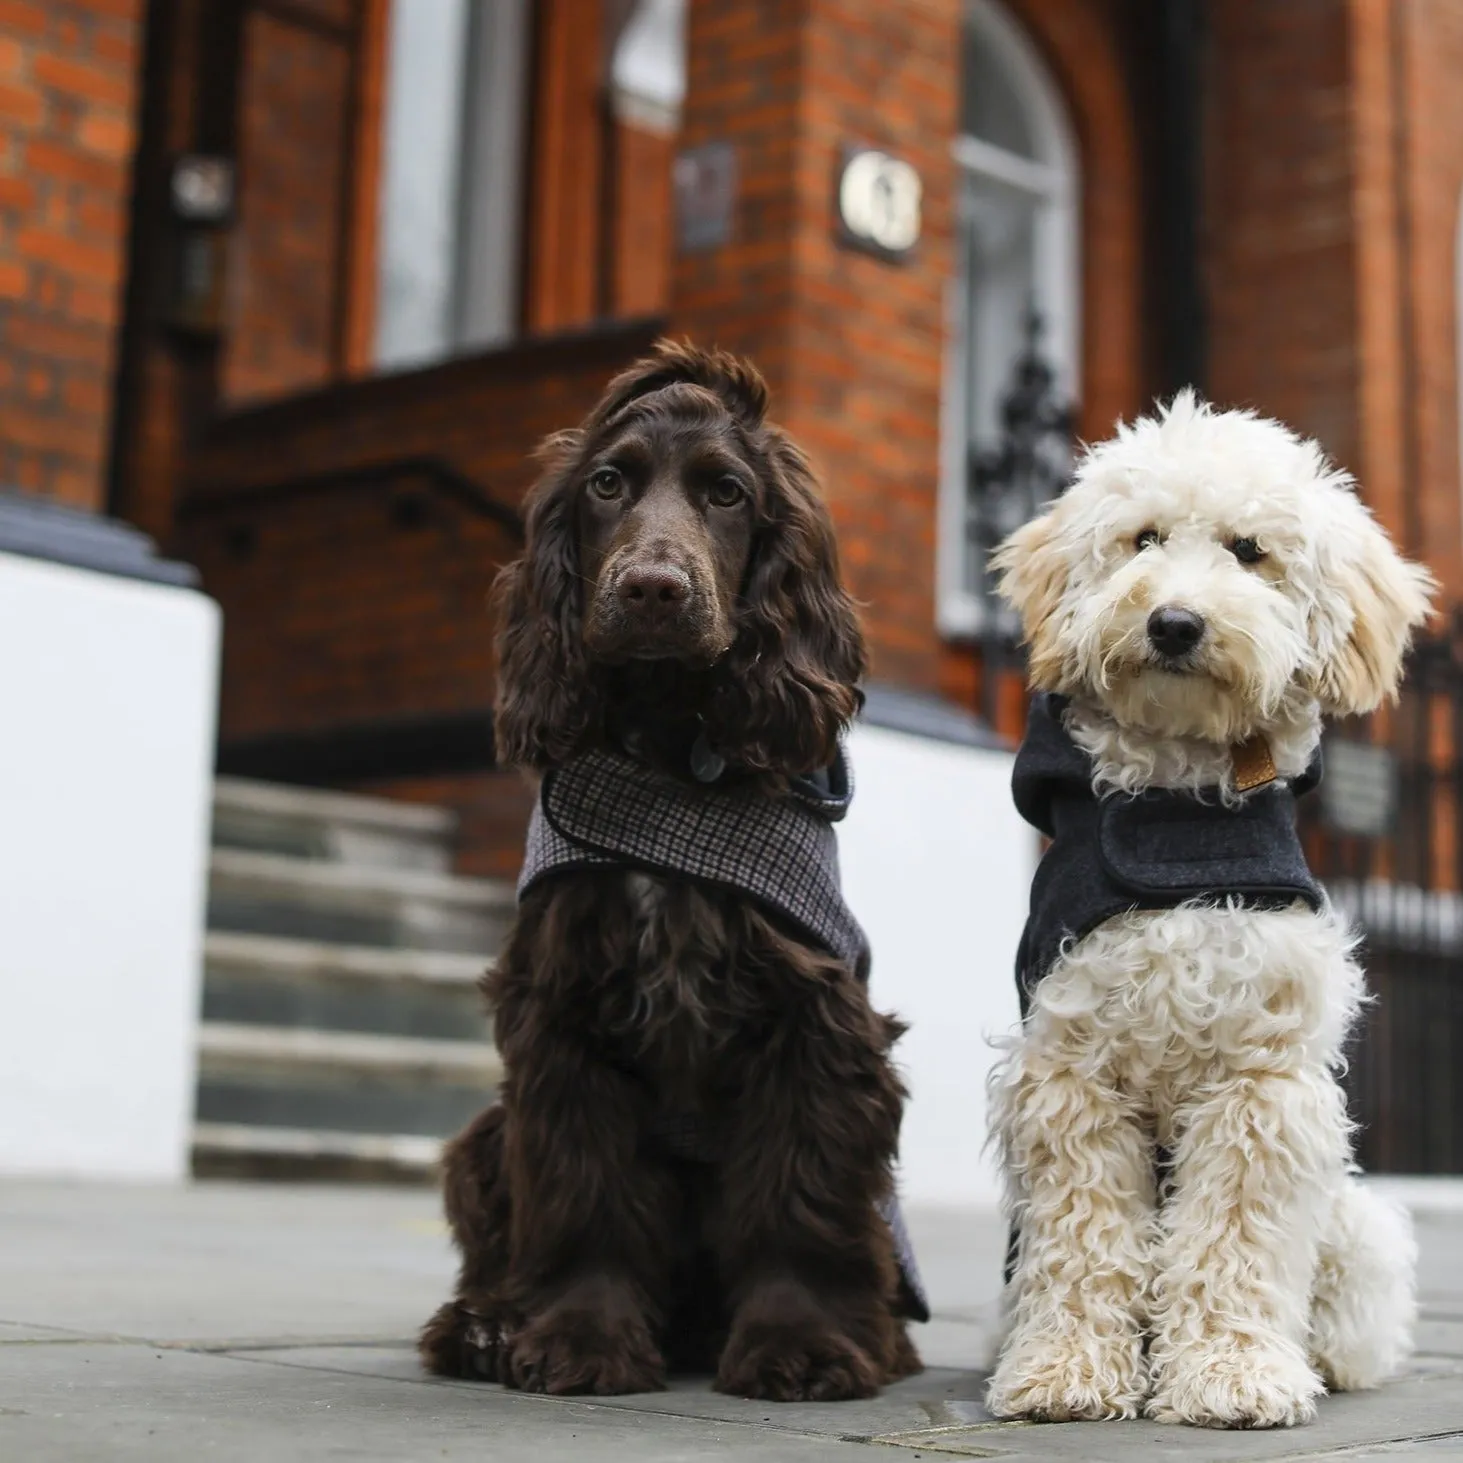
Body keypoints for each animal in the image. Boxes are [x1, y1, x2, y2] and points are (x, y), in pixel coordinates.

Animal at [988, 392, 1433, 1427]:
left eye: (1248, 549)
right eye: (1142, 538)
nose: (1175, 623)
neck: (1176, 808)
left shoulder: (1257, 1083)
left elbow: (1232, 1235)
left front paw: (1231, 1372)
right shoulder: (1071, 1072)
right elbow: (1082, 1237)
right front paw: (1066, 1367)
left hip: (1356, 1223)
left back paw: (1324, 1360)